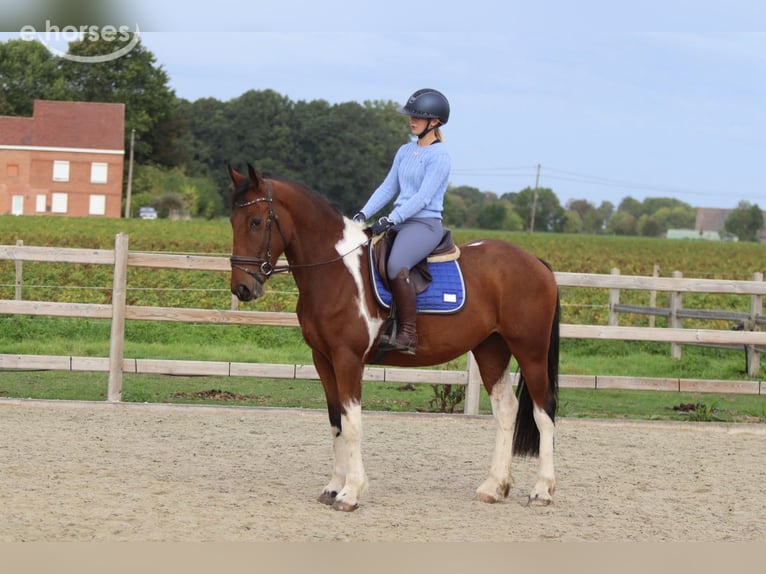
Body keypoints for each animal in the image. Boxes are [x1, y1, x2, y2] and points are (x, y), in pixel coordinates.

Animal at [228, 164, 560, 512]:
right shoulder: (323, 360)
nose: (242, 288)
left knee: (544, 411)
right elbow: (335, 422)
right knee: (506, 409)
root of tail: (536, 263)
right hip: (491, 350)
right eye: (232, 221)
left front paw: (350, 492)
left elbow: (352, 423)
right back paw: (494, 487)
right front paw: (333, 487)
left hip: (530, 351)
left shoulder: (348, 359)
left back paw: (541, 490)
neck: (335, 271)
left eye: (255, 221)